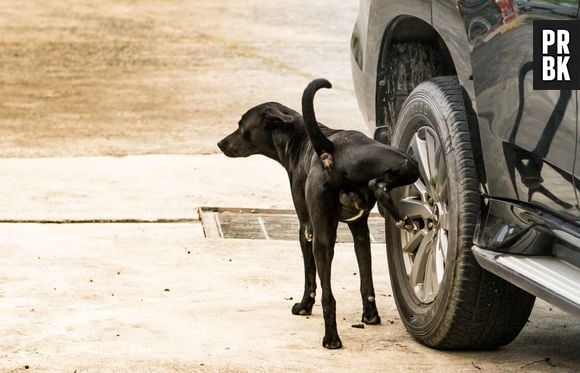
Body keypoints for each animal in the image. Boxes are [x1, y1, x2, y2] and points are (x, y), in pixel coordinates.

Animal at [218, 79, 416, 348]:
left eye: (241, 127)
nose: (220, 143)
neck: (298, 137)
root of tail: (330, 148)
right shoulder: (359, 229)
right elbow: (366, 280)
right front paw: (370, 315)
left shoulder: (306, 229)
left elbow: (310, 277)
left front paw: (304, 306)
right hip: (404, 164)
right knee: (381, 184)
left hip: (322, 237)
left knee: (328, 297)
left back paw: (331, 339)